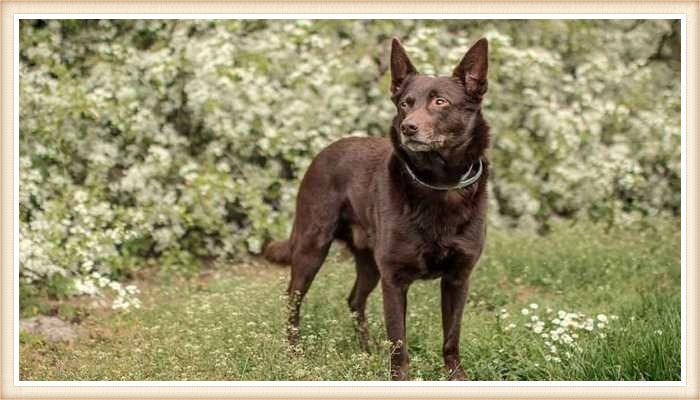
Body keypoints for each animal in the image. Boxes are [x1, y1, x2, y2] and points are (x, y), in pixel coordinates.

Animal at [264, 36, 492, 380]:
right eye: (405, 104)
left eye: (440, 102)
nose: (408, 128)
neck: (438, 184)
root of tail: (325, 151)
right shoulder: (394, 280)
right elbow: (399, 343)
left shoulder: (458, 278)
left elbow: (451, 338)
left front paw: (457, 378)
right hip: (311, 247)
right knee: (293, 300)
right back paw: (295, 354)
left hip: (369, 263)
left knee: (354, 299)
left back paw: (367, 350)